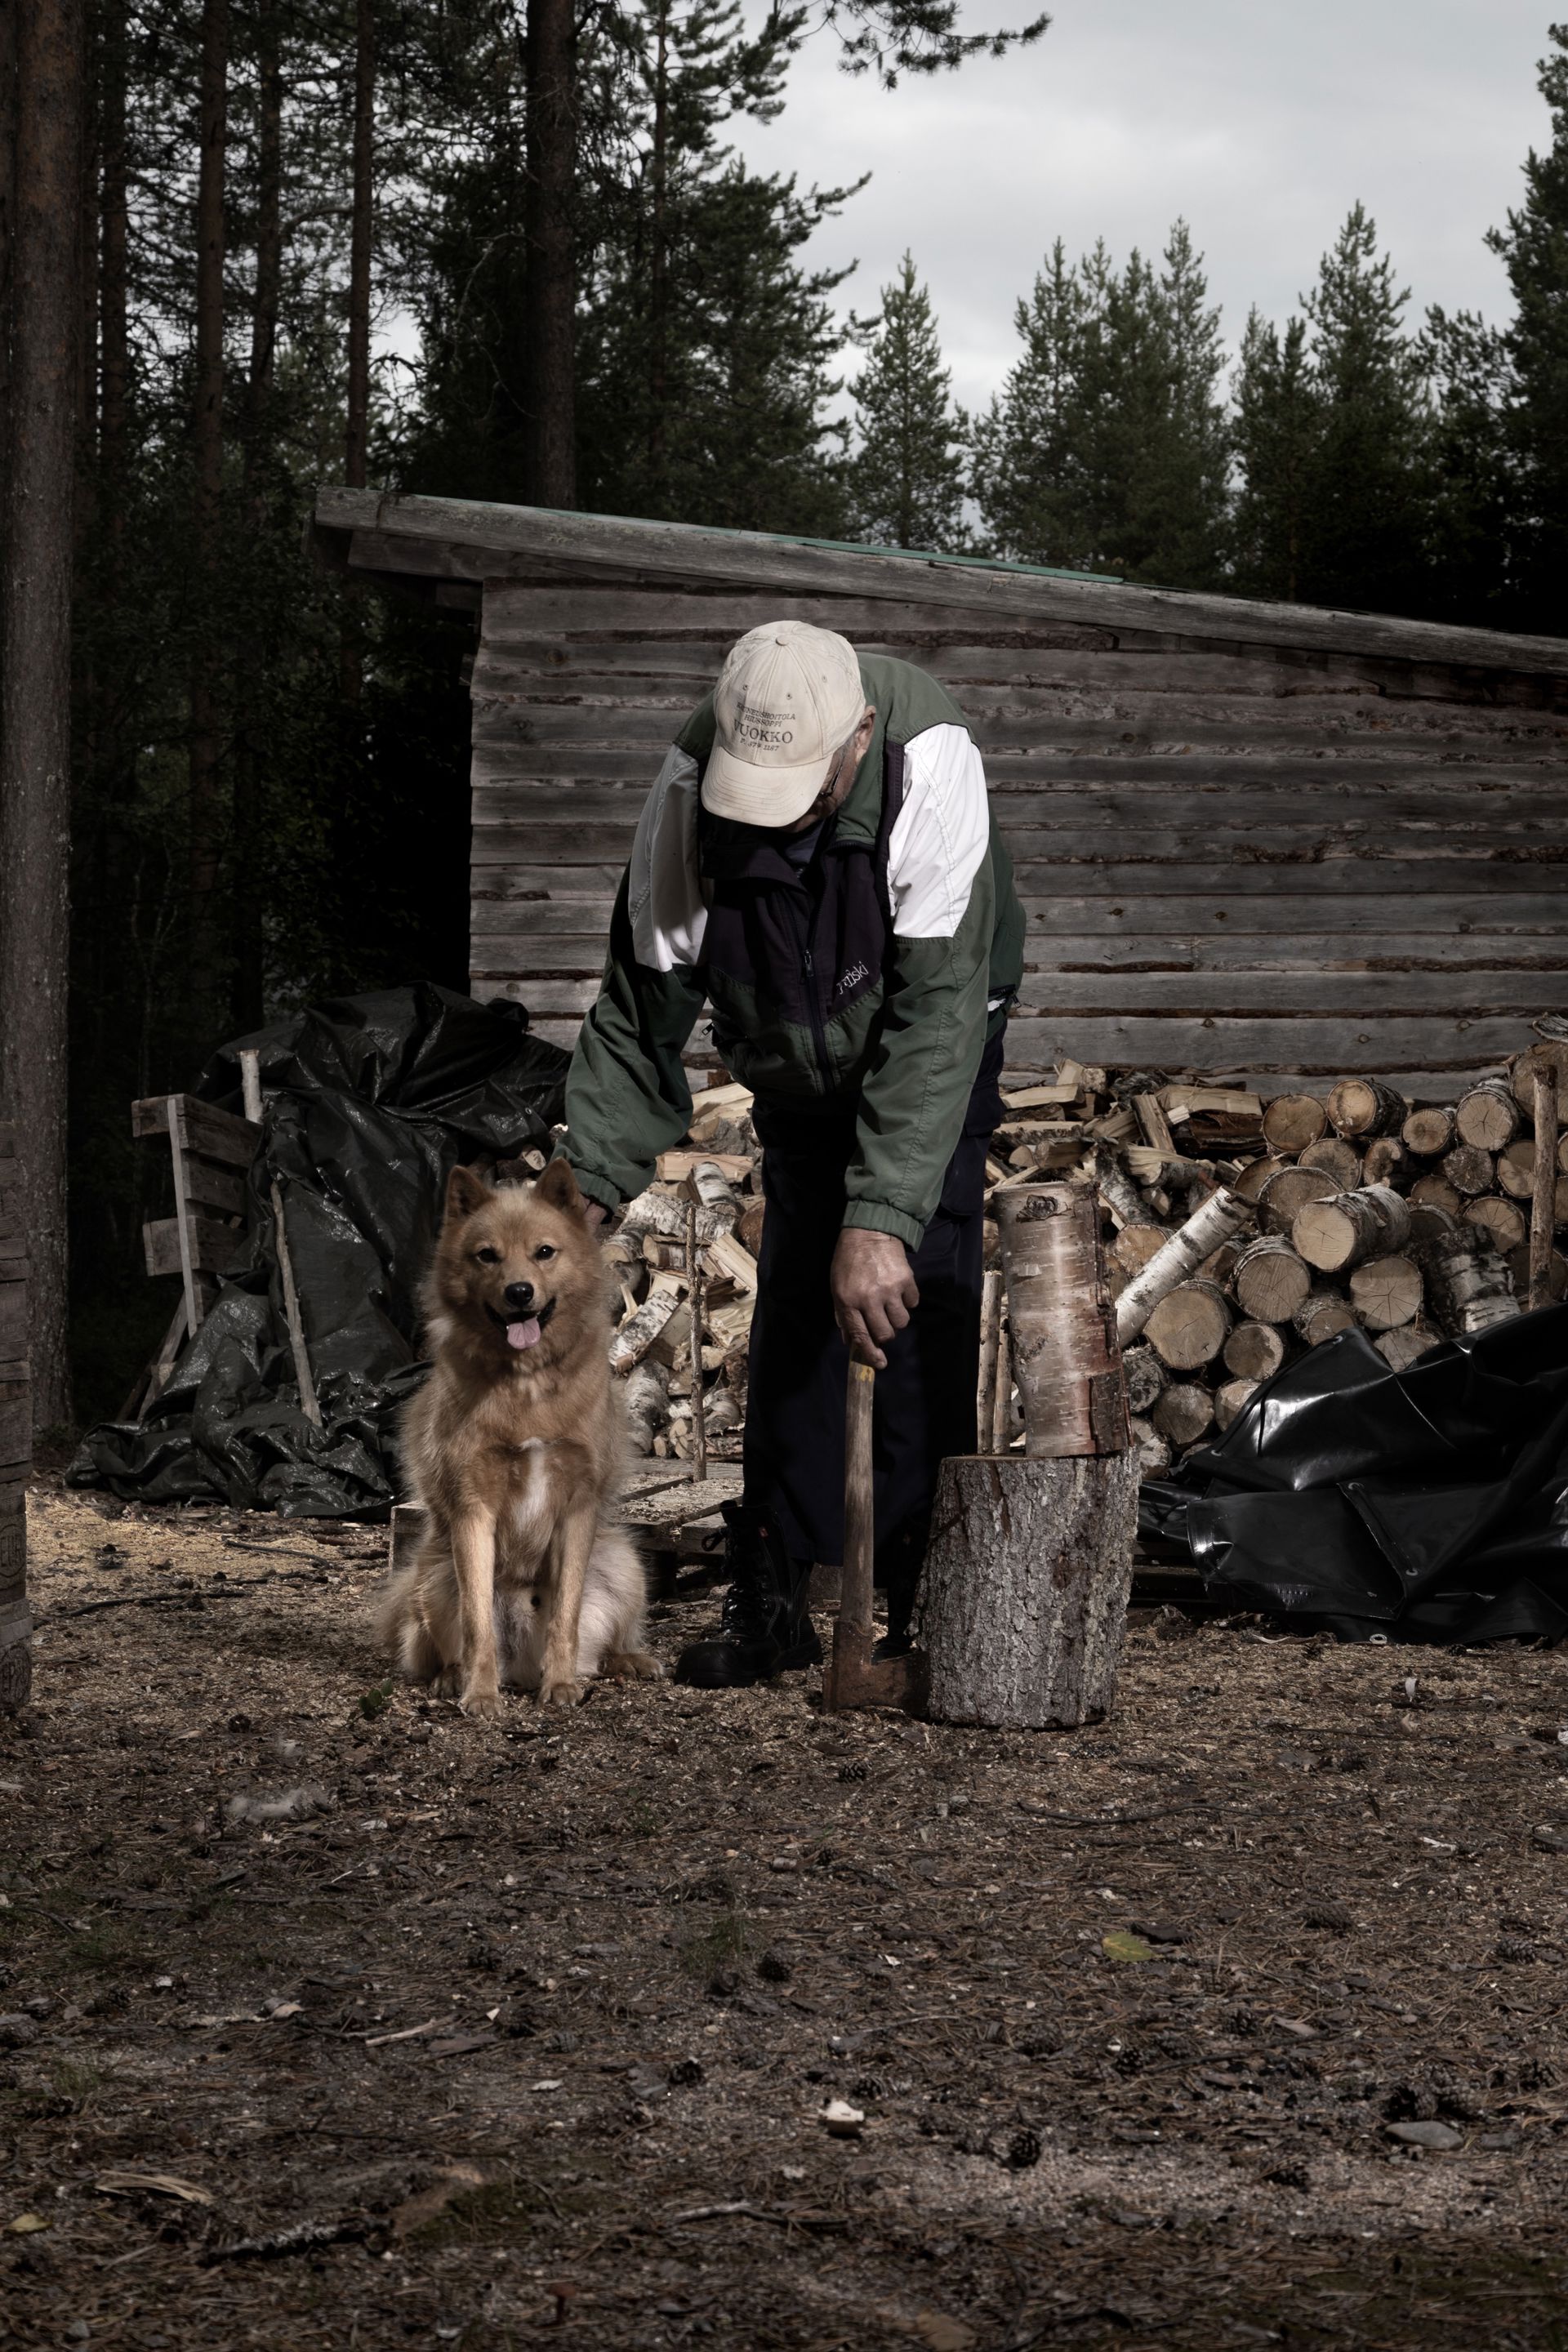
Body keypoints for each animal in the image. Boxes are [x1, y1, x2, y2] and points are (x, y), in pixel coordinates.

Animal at [378, 1152, 657, 1712]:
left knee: (605, 1645)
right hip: (436, 1573)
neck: (525, 1386)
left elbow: (566, 1615)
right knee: (442, 1646)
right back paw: (453, 1678)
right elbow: (477, 1623)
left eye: (543, 1252)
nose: (520, 1292)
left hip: (623, 1560)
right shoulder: (472, 1513)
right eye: (487, 1256)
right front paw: (481, 1693)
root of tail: (522, 1667)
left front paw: (562, 1684)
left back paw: (625, 1661)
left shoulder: (577, 1509)